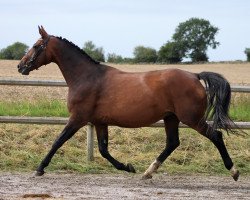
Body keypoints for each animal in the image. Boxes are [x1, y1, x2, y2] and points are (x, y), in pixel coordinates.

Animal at [18, 26, 240, 181]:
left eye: (36, 46)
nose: (21, 66)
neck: (86, 77)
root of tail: (195, 76)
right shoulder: (99, 122)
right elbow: (103, 149)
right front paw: (128, 167)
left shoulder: (78, 118)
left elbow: (58, 141)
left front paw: (39, 168)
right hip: (171, 118)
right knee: (172, 143)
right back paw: (147, 172)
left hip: (191, 119)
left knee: (216, 136)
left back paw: (234, 171)